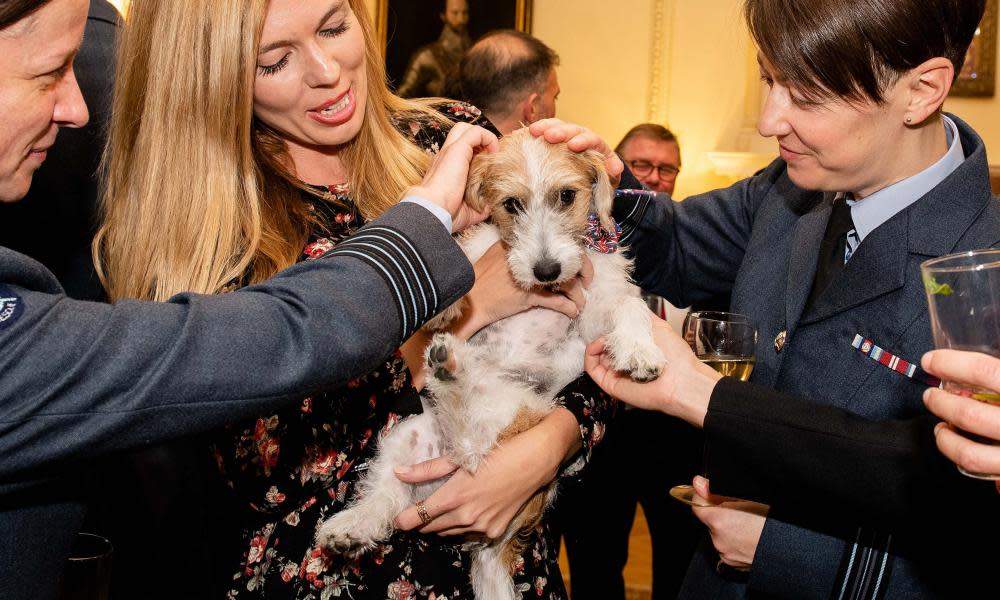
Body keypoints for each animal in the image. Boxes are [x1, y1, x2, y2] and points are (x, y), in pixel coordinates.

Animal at [316, 129, 668, 596]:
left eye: (566, 196)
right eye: (511, 205)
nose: (546, 270)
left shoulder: (595, 306)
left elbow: (629, 307)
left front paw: (638, 350)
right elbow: (460, 262)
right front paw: (448, 303)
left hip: (507, 415)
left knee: (469, 440)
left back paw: (452, 369)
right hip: (406, 436)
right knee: (388, 490)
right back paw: (354, 525)